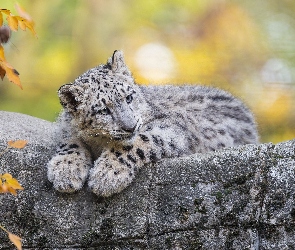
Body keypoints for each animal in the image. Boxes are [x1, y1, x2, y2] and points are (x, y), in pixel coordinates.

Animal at [46, 49, 260, 197]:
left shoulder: (171, 128)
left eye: (129, 97)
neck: (99, 142)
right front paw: (65, 171)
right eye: (103, 110)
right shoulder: (65, 128)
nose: (130, 126)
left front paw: (106, 175)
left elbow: (138, 142)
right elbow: (70, 141)